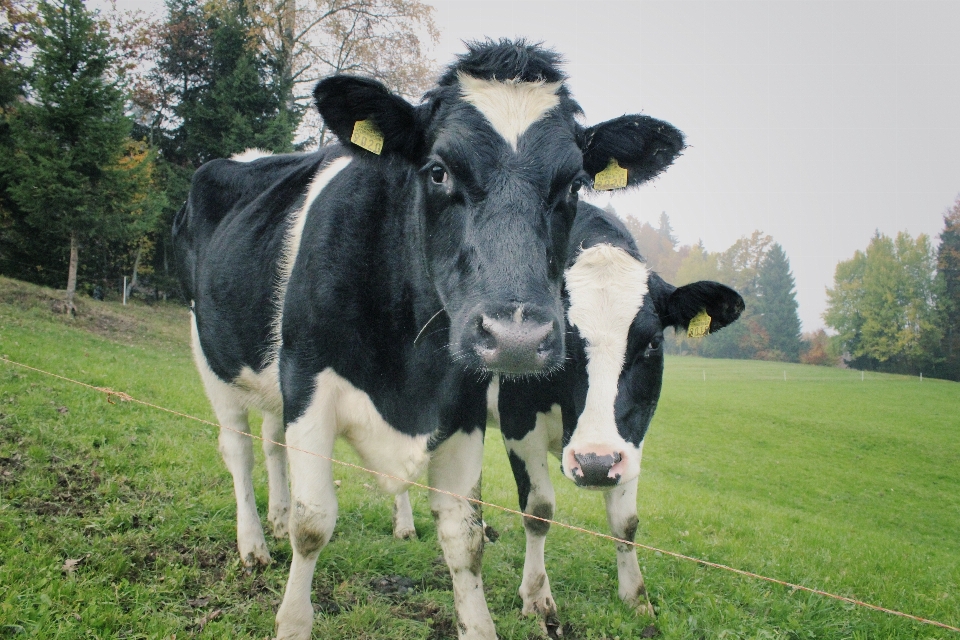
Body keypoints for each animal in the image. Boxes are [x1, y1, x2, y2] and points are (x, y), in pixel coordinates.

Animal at [171, 41, 684, 640]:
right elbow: (314, 522)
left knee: (274, 441)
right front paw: (294, 620)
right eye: (437, 171)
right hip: (210, 352)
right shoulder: (309, 384)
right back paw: (253, 542)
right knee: (240, 448)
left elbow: (469, 535)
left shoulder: (467, 409)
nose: (516, 336)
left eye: (574, 184)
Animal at [390, 204, 744, 624]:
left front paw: (636, 596)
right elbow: (539, 509)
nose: (595, 464)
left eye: (653, 343)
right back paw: (405, 526)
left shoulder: (630, 437)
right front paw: (536, 596)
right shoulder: (519, 423)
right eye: (560, 340)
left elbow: (626, 522)